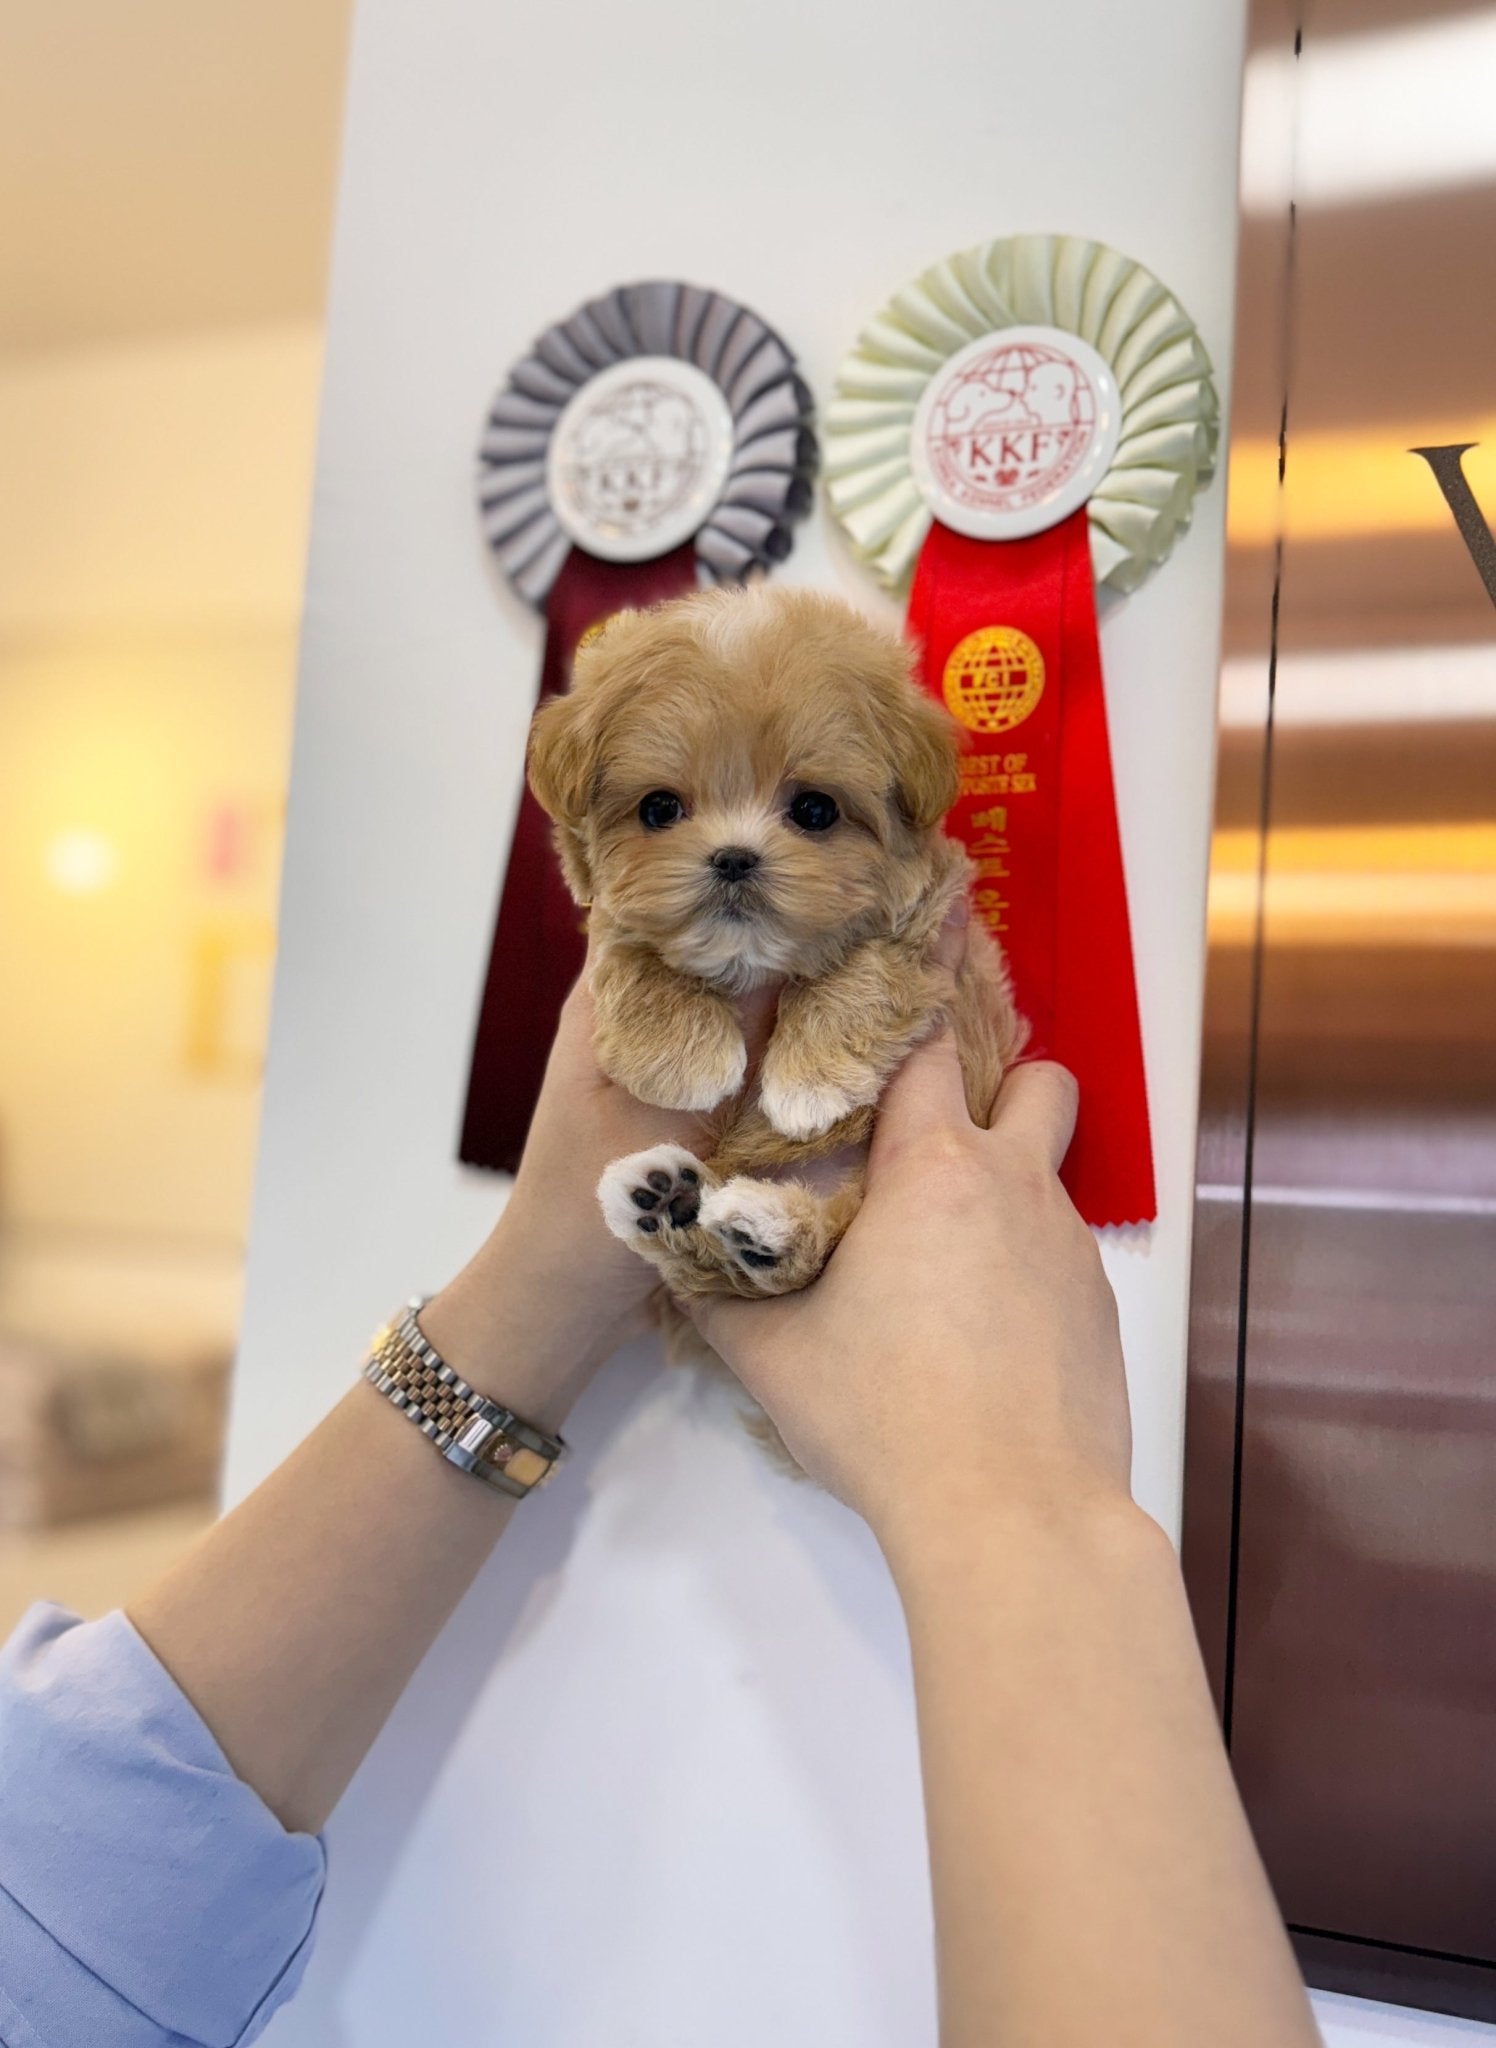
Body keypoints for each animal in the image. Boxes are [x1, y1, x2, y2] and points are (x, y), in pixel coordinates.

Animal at [524, 585, 1024, 1302]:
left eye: (815, 810)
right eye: (659, 809)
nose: (734, 858)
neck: (752, 962)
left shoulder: (931, 920)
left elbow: (867, 969)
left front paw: (809, 1081)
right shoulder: (612, 920)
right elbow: (637, 957)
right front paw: (681, 1060)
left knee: (811, 1248)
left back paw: (762, 1228)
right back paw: (667, 1203)